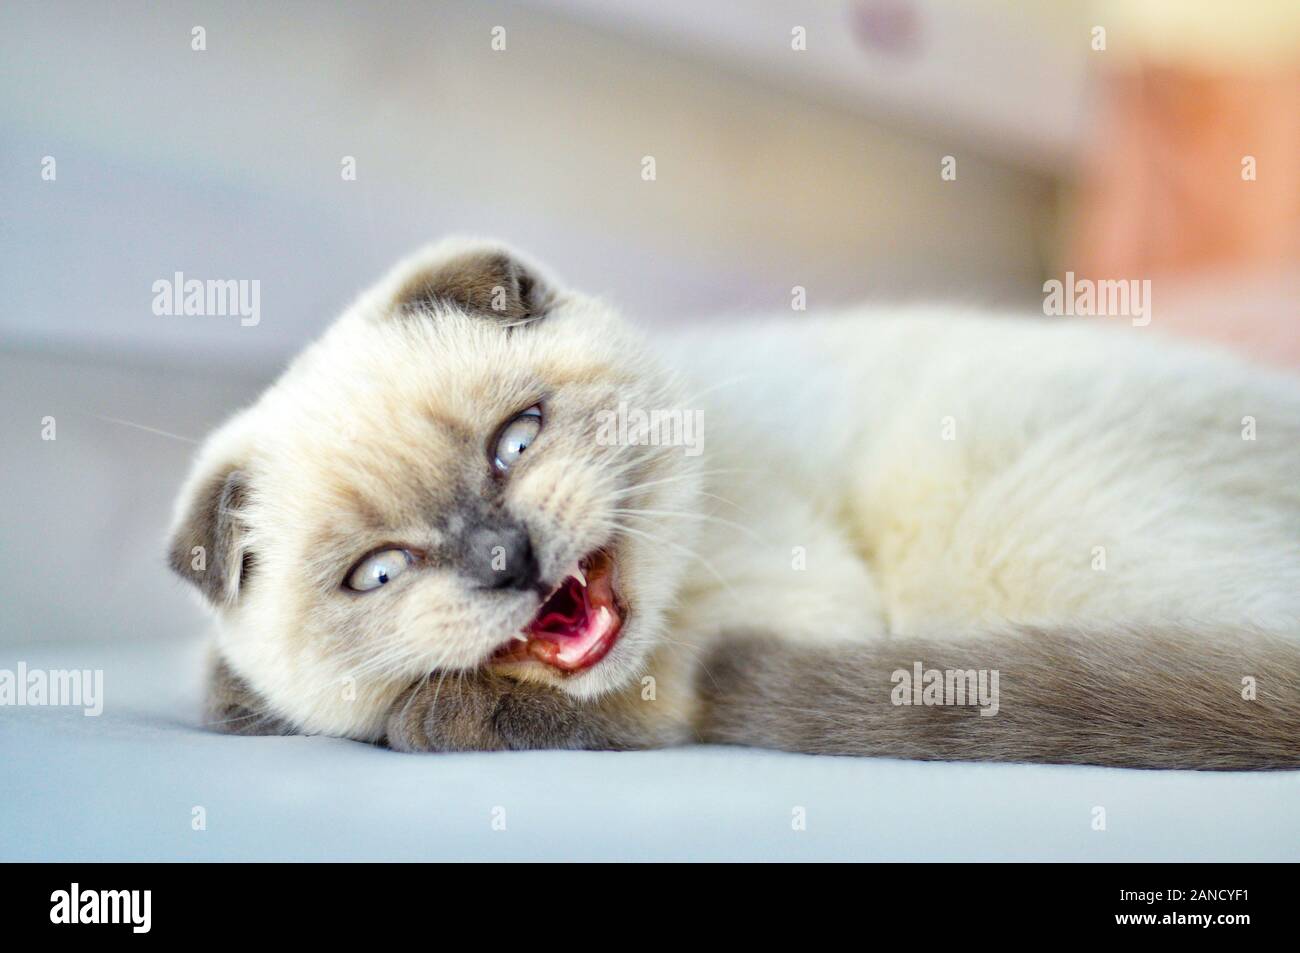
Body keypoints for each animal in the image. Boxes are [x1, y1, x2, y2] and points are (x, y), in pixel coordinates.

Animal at [172, 237, 1300, 764]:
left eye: (517, 440)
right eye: (380, 572)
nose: (507, 559)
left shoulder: (782, 614)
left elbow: (611, 702)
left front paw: (433, 714)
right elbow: (236, 692)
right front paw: (247, 700)